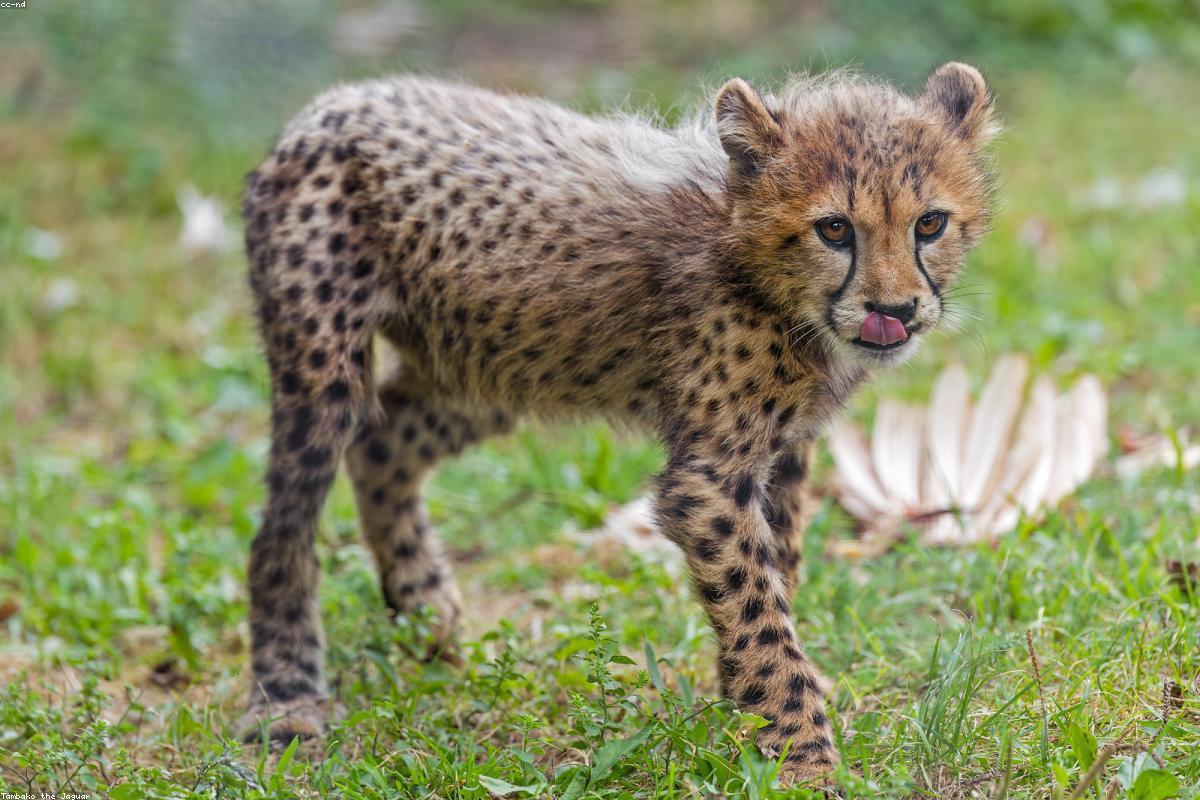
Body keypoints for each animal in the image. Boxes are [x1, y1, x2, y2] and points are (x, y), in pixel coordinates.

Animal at [238, 61, 997, 784]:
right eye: (835, 228)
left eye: (929, 224)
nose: (894, 311)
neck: (760, 268)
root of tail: (333, 102)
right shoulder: (708, 480)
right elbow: (758, 613)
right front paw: (800, 753)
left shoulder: (783, 451)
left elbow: (775, 575)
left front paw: (743, 712)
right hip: (328, 369)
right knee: (284, 530)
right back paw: (287, 697)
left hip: (491, 361)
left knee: (382, 440)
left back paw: (426, 614)